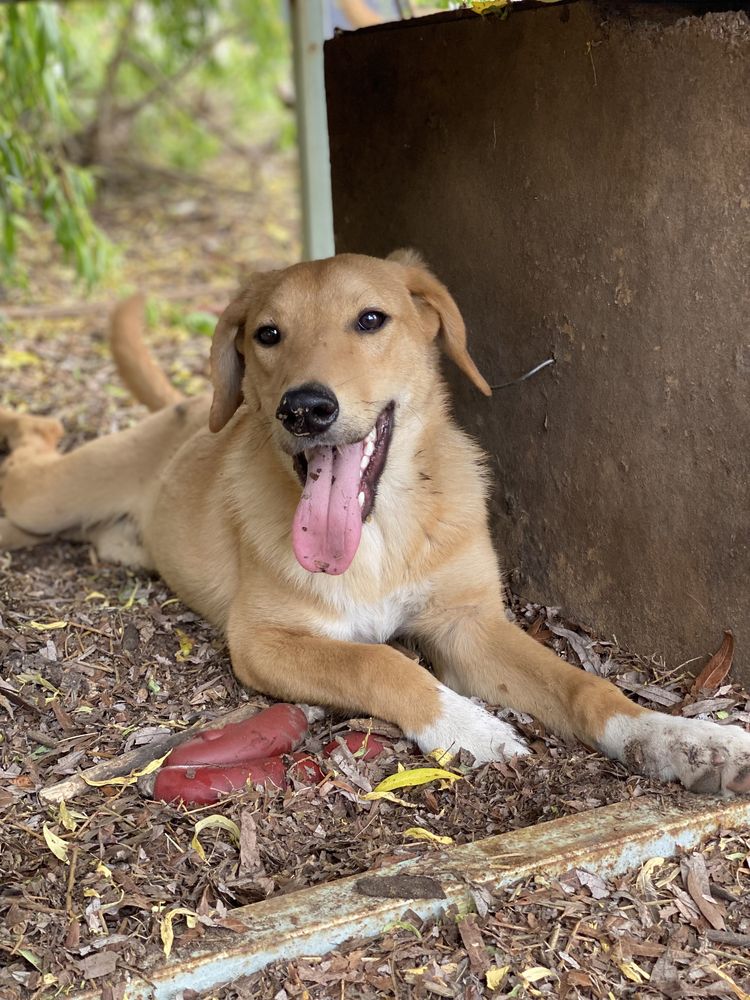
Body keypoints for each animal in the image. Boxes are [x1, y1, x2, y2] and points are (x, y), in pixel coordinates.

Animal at [1, 252, 750, 796]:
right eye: (267, 334)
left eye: (370, 319)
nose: (305, 409)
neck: (380, 534)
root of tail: (183, 408)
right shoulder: (264, 641)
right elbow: (379, 660)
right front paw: (468, 725)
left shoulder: (469, 626)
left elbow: (583, 685)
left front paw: (681, 739)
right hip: (39, 503)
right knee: (32, 461)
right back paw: (27, 425)